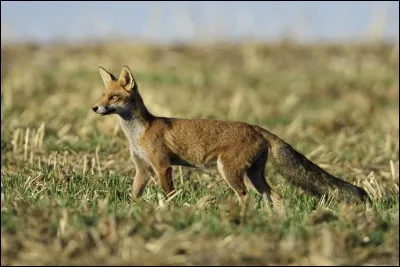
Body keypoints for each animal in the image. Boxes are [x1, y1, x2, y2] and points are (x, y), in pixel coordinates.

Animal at [91, 66, 372, 207]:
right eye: (103, 95)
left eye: (114, 97)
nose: (95, 108)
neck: (139, 132)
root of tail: (256, 127)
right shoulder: (143, 170)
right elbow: (133, 195)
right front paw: (129, 213)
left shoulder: (162, 167)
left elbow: (169, 195)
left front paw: (171, 213)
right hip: (254, 175)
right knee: (275, 197)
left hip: (229, 171)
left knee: (246, 198)